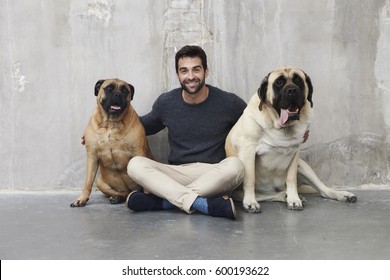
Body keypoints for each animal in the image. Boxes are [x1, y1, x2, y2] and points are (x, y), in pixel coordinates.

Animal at [71, 77, 152, 207]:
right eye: (109, 88)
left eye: (125, 90)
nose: (117, 95)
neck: (111, 123)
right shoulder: (92, 156)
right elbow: (88, 182)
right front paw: (82, 198)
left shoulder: (139, 151)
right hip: (100, 182)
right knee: (122, 193)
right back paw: (116, 197)